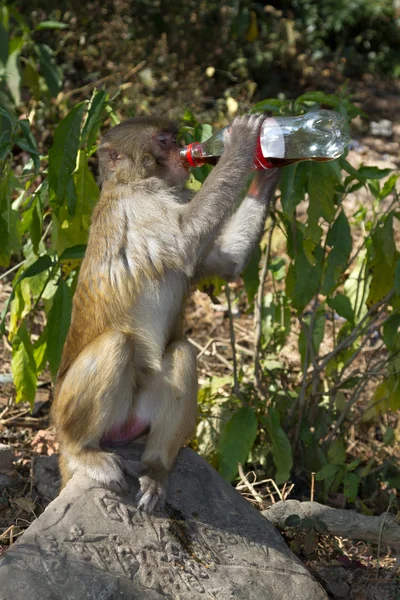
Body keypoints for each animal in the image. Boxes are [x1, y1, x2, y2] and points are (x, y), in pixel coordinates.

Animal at [51, 113, 278, 510]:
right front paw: (242, 140)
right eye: (163, 140)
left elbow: (227, 262)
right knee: (116, 344)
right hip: (66, 412)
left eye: (174, 138)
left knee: (183, 351)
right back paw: (83, 451)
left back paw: (156, 468)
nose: (183, 151)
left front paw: (268, 167)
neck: (136, 181)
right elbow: (187, 237)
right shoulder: (139, 205)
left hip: (136, 421)